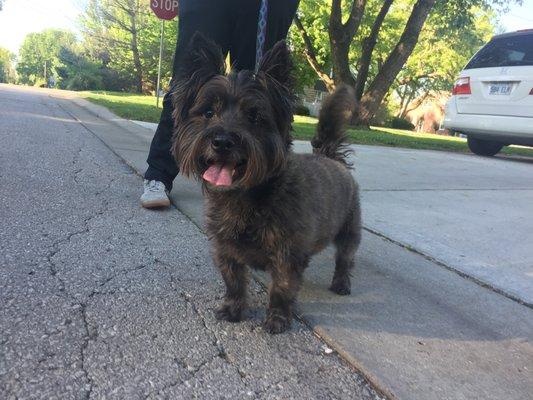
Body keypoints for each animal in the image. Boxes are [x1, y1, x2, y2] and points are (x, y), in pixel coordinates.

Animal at [170, 32, 362, 334]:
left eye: (255, 117)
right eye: (208, 112)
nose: (222, 141)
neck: (246, 196)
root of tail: (331, 157)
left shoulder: (287, 255)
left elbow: (282, 288)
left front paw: (278, 318)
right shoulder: (226, 251)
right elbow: (234, 283)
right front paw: (234, 309)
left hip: (349, 230)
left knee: (345, 258)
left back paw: (342, 282)